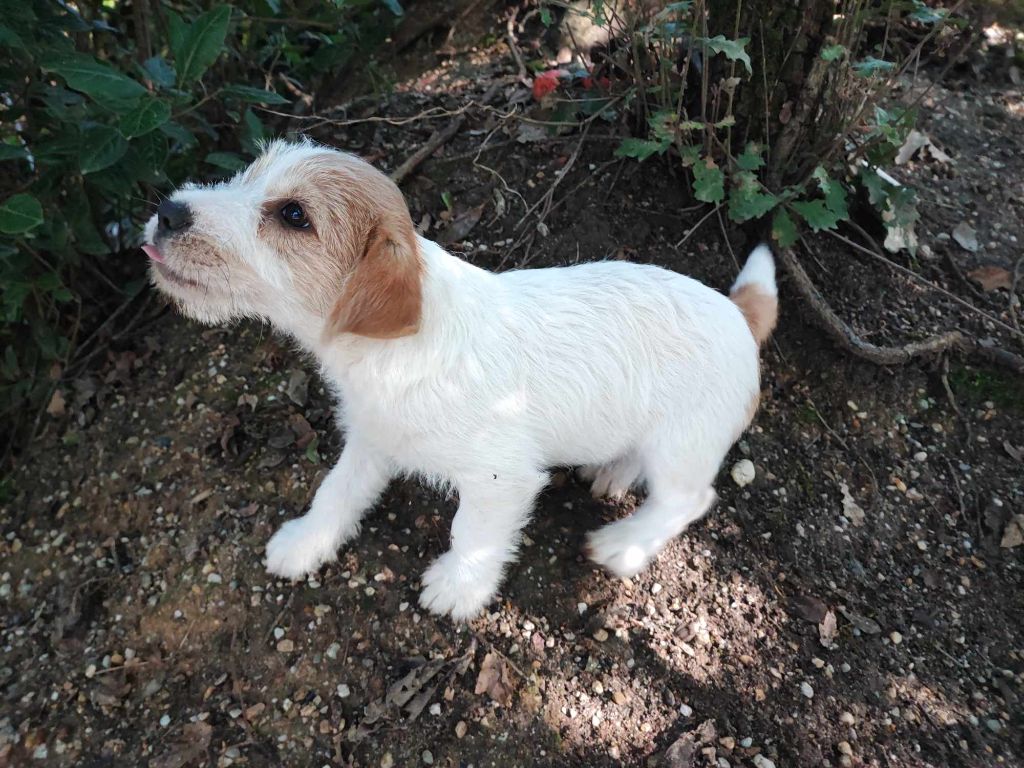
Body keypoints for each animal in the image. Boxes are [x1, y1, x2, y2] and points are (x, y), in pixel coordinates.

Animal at [143, 139, 778, 620]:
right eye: (247, 176)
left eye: (293, 215)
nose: (169, 211)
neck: (390, 348)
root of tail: (737, 312)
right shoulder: (371, 440)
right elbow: (335, 493)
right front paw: (305, 542)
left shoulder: (501, 478)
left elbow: (473, 532)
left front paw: (458, 586)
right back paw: (613, 472)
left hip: (682, 445)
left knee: (688, 499)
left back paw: (625, 544)